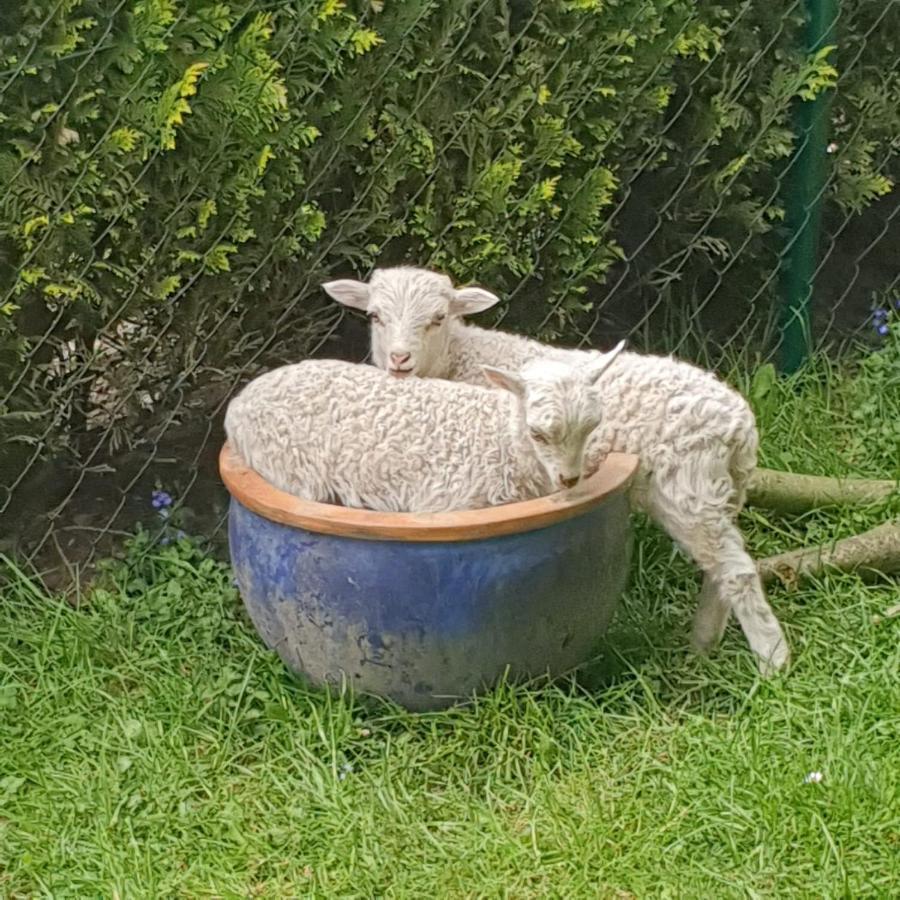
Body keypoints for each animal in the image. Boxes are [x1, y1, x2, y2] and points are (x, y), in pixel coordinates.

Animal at [222, 350, 624, 516]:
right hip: (289, 467)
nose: (569, 479)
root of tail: (239, 403)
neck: (499, 440)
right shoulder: (450, 501)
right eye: (537, 433)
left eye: (591, 428)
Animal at [324, 264, 788, 672]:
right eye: (374, 316)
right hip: (719, 490)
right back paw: (704, 644)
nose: (399, 360)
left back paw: (772, 661)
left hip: (688, 488)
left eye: (438, 319)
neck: (460, 358)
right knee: (722, 564)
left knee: (736, 570)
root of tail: (740, 425)